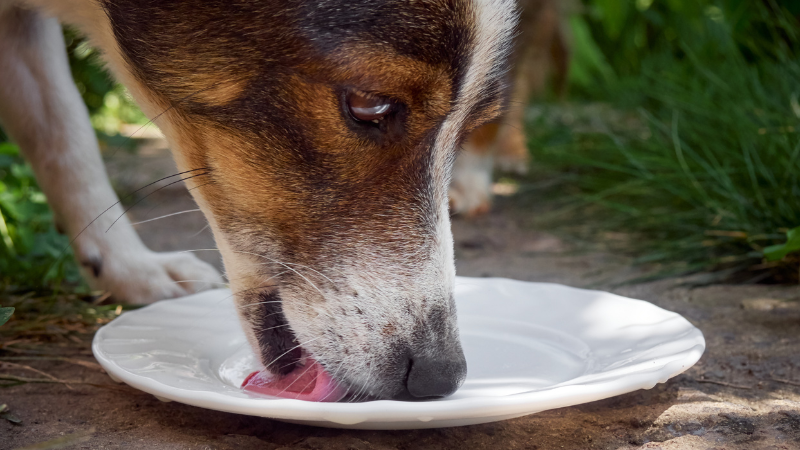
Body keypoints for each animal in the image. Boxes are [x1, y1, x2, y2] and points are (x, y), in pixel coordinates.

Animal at [0, 0, 512, 400]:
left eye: (471, 128)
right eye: (370, 104)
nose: (439, 376)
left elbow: (64, 130)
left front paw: (129, 267)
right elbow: (66, 125)